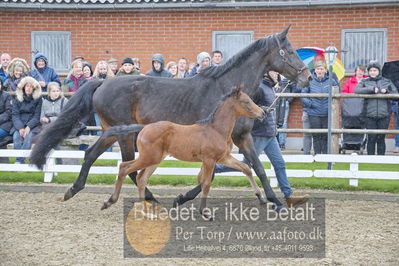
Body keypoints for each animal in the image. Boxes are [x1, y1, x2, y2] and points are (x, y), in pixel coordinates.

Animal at [101, 86, 268, 217]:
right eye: (246, 101)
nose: (263, 113)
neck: (216, 130)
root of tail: (144, 127)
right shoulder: (209, 160)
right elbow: (206, 182)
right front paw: (204, 212)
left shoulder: (223, 158)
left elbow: (246, 168)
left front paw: (261, 197)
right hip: (149, 158)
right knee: (125, 167)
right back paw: (110, 202)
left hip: (155, 160)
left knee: (141, 178)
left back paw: (145, 211)